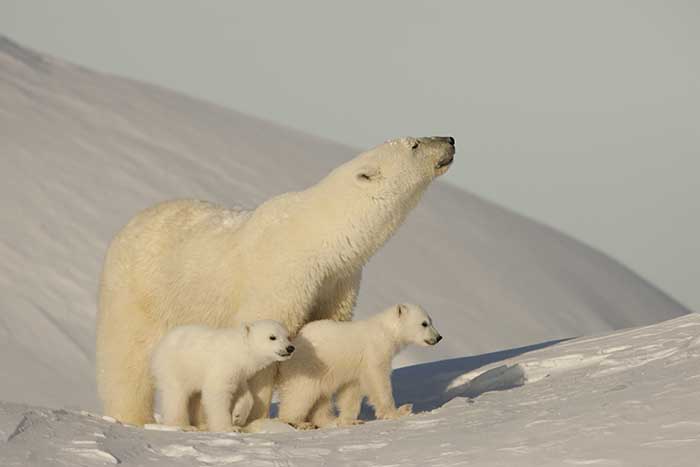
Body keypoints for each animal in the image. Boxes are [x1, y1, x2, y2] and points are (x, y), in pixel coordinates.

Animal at [152, 320, 294, 434]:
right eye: (272, 337)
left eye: (288, 337)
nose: (290, 348)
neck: (240, 349)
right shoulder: (223, 365)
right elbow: (217, 392)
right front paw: (229, 428)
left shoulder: (239, 372)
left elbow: (244, 393)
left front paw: (238, 417)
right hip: (176, 367)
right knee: (176, 395)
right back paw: (183, 425)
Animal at [276, 306, 440, 430]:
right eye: (424, 323)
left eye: (431, 320)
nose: (439, 337)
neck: (385, 331)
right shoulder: (374, 352)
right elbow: (378, 380)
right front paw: (399, 411)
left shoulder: (356, 367)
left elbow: (351, 391)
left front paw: (351, 420)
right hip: (309, 367)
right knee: (301, 394)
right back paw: (298, 422)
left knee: (321, 398)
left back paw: (329, 420)